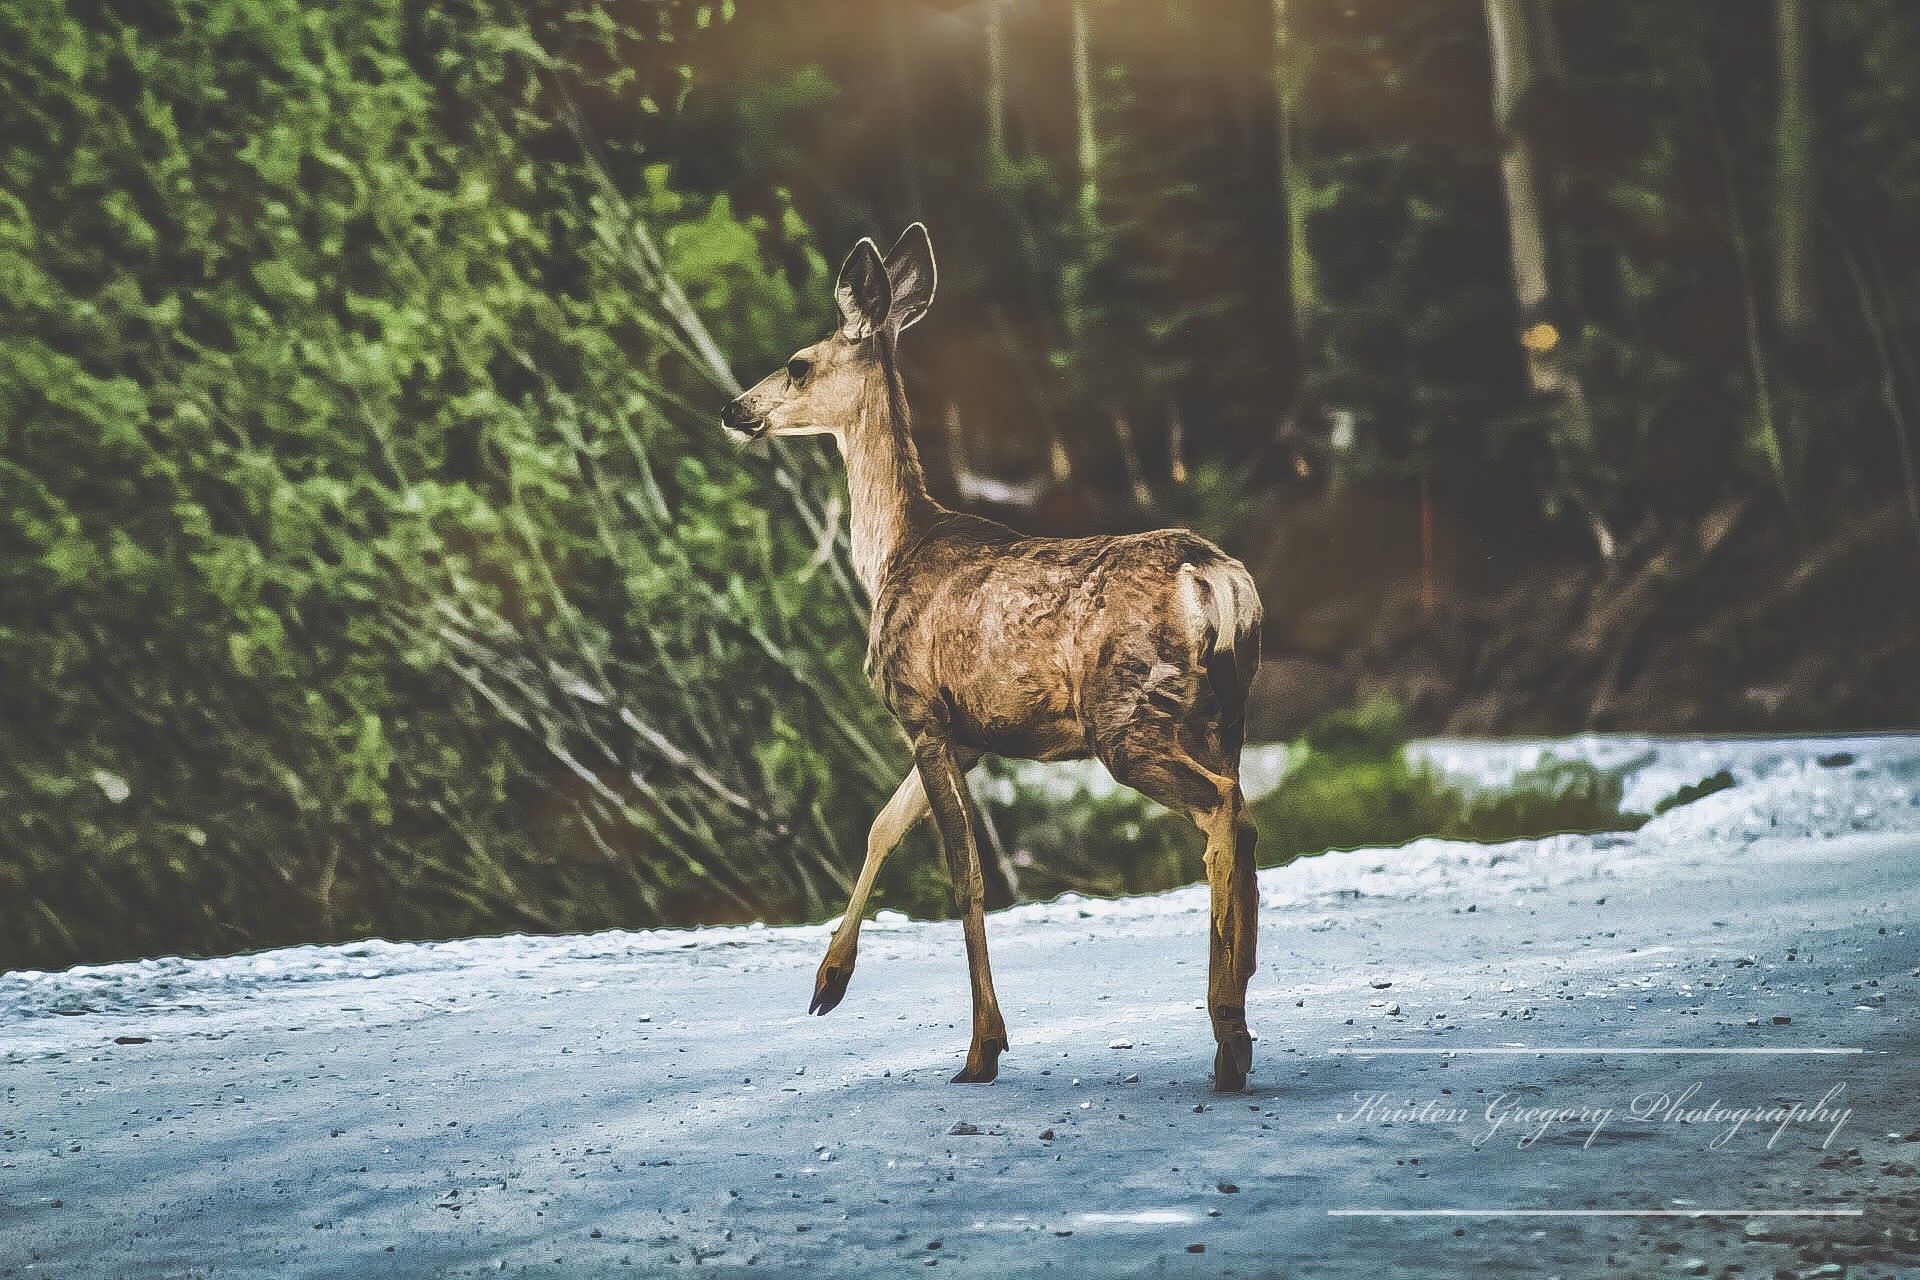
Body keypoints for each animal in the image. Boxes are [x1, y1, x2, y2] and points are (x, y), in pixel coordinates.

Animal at [721, 225, 1259, 1090]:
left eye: (798, 362)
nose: (734, 409)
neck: (892, 554)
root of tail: (1215, 580)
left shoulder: (920, 708)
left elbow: (964, 873)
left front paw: (982, 1046)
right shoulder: (970, 731)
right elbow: (881, 825)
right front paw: (828, 981)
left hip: (1128, 717)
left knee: (1219, 811)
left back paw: (1226, 1034)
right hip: (1227, 711)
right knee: (1244, 816)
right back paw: (1240, 1012)